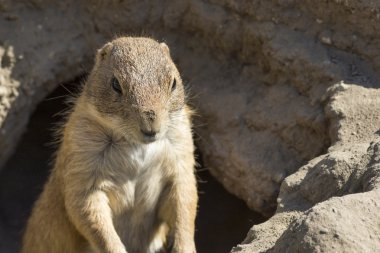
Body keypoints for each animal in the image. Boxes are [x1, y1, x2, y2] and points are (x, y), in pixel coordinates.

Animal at [21, 36, 199, 253]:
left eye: (173, 83)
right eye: (115, 84)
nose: (151, 128)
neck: (135, 145)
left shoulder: (180, 152)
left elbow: (184, 202)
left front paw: (184, 246)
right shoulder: (83, 159)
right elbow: (89, 212)